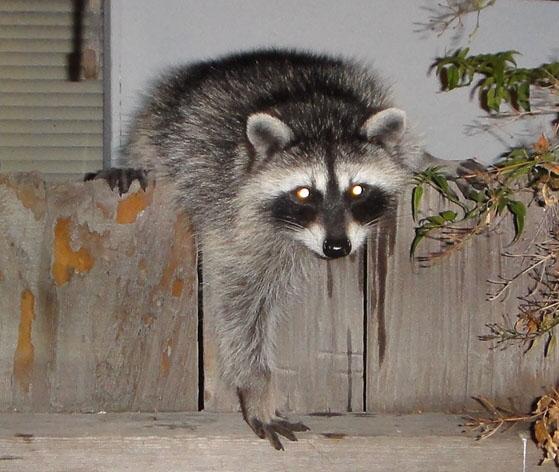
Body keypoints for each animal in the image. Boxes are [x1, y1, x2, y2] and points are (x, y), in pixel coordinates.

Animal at [87, 49, 482, 449]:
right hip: (161, 125)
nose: (336, 247)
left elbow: (407, 153)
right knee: (147, 148)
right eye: (304, 193)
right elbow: (241, 302)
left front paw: (433, 162)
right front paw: (257, 384)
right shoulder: (228, 201)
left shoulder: (373, 100)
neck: (322, 116)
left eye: (357, 190)